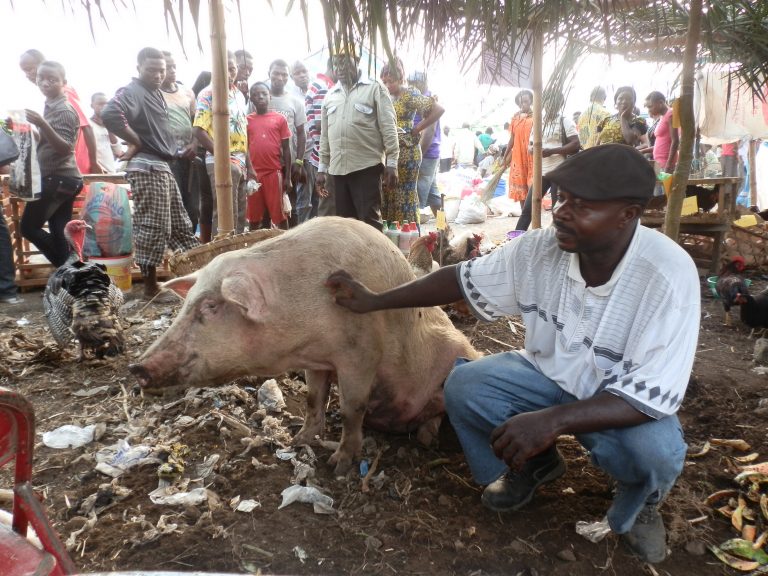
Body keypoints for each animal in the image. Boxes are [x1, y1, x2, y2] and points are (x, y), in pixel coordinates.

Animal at [132, 216, 480, 472]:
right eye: (188, 301)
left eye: (212, 306)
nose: (137, 367)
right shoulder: (317, 360)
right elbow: (314, 398)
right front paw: (296, 440)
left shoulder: (361, 353)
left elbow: (353, 408)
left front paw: (339, 465)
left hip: (460, 356)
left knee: (442, 409)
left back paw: (426, 439)